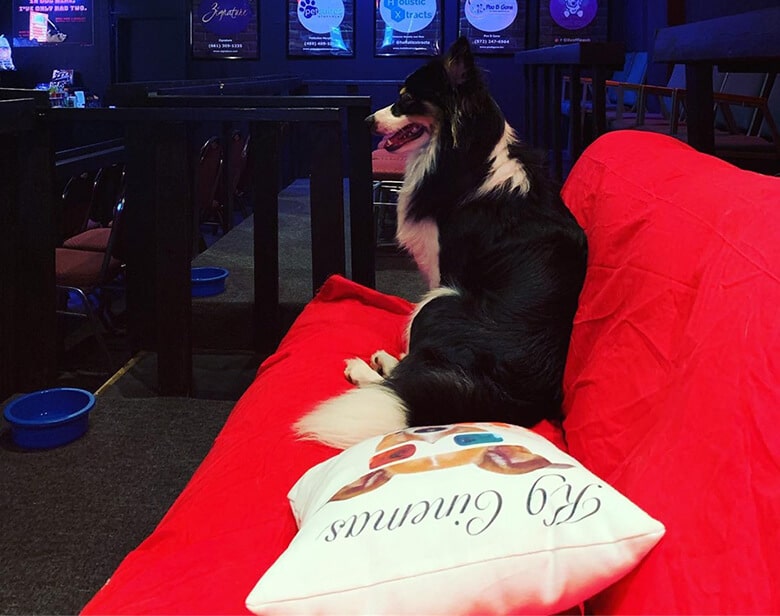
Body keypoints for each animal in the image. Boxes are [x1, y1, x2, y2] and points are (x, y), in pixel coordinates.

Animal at [296, 37, 588, 448]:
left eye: (405, 100)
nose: (368, 121)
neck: (467, 153)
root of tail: (503, 397)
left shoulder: (441, 267)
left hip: (439, 301)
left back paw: (370, 370)